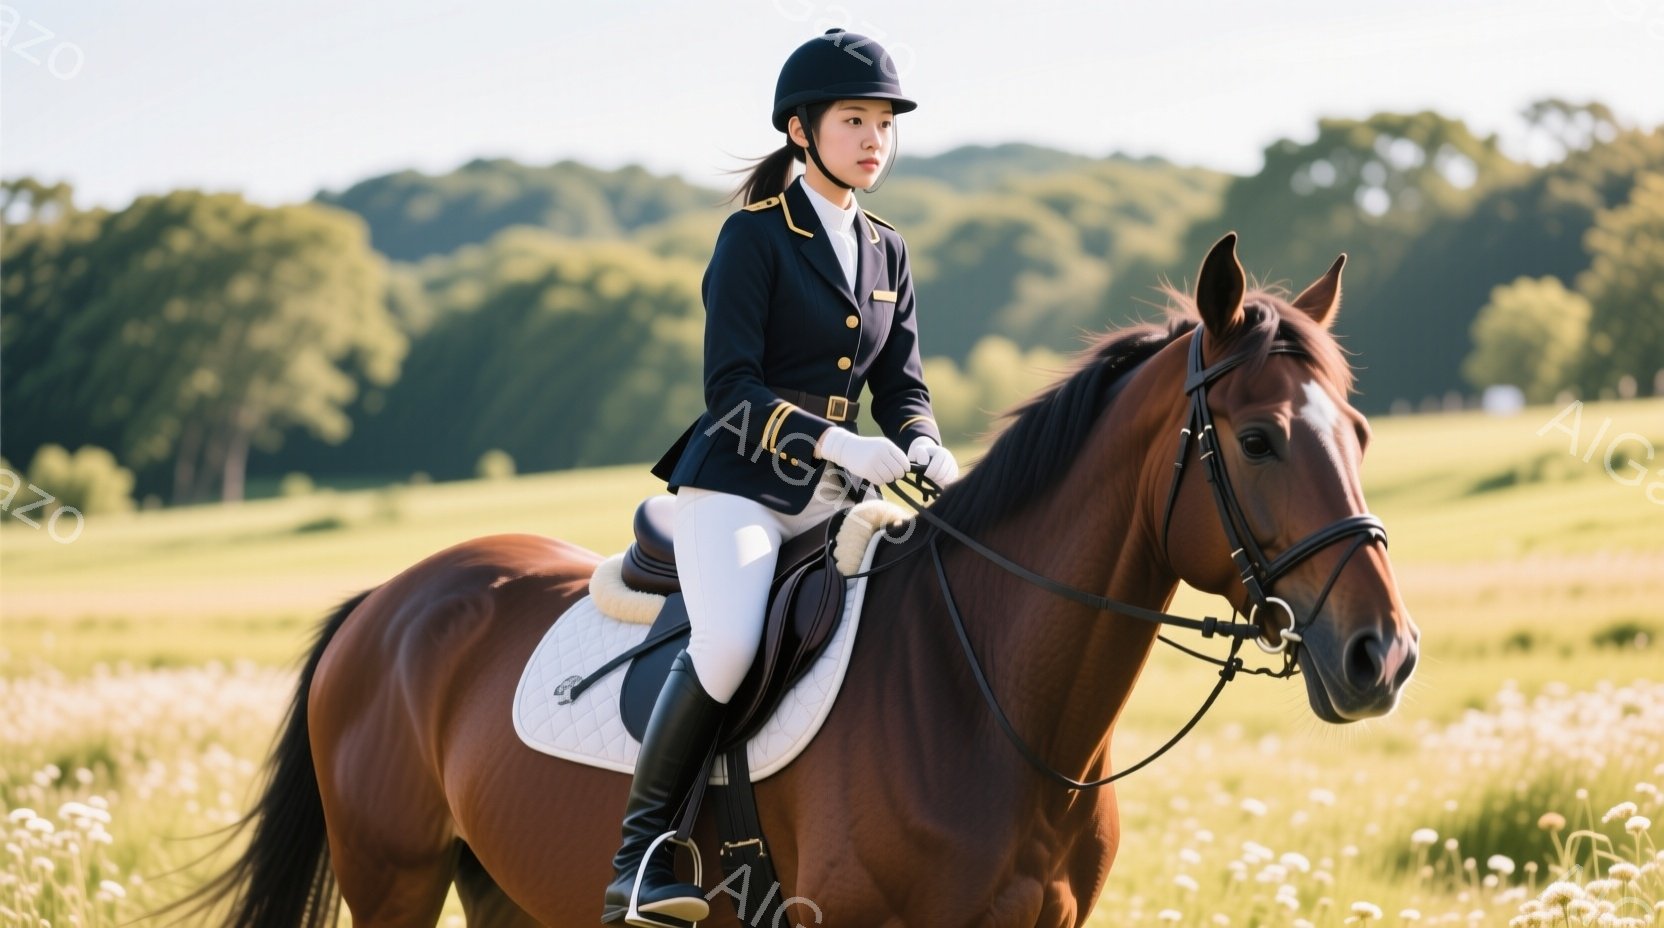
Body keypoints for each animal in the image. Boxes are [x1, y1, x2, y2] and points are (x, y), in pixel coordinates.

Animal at [173, 233, 1419, 927]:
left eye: (1358, 429)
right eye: (1255, 439)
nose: (1382, 657)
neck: (992, 704)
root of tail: (386, 602)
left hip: (506, 889)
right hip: (394, 876)